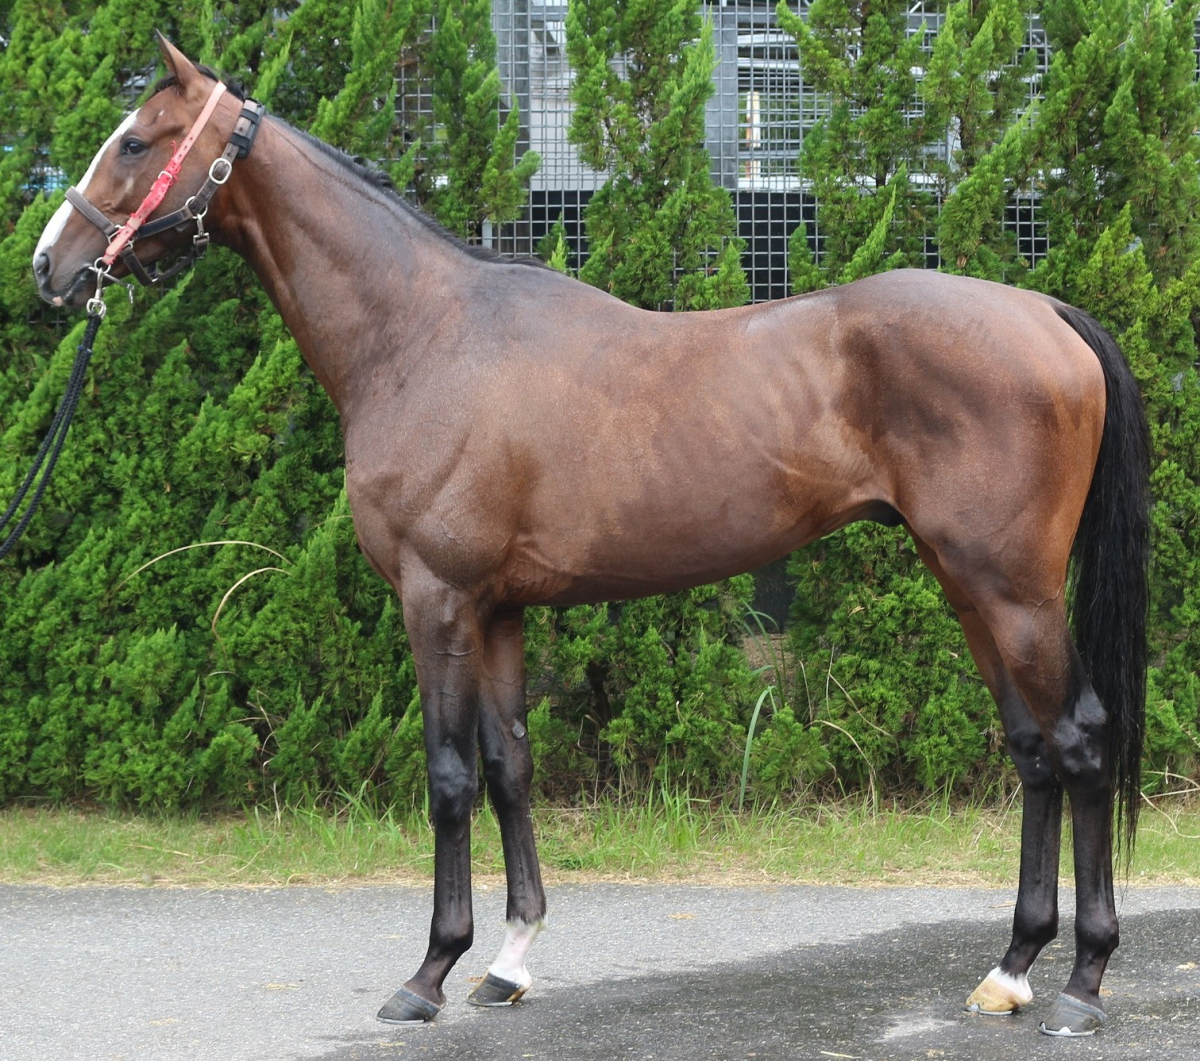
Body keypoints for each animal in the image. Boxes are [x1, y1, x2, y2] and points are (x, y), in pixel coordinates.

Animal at [33, 37, 1149, 1038]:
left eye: (135, 141)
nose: (51, 266)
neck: (423, 334)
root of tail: (1045, 310)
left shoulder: (436, 599)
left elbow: (448, 777)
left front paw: (428, 974)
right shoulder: (497, 611)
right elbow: (509, 765)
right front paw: (510, 962)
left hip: (1013, 588)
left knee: (1081, 740)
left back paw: (1084, 985)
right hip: (968, 583)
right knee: (1033, 749)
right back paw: (1010, 970)